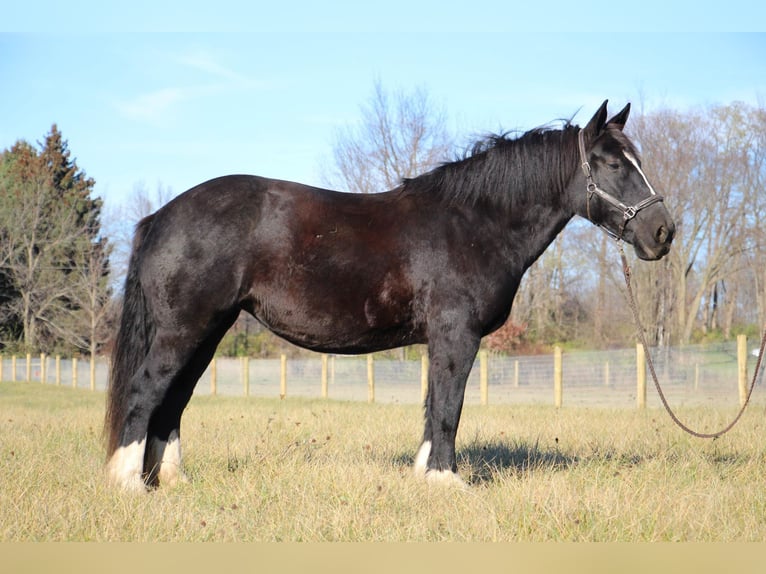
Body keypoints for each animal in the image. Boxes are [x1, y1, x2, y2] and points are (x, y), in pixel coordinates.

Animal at [103, 101, 680, 492]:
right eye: (613, 165)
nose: (663, 233)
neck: (475, 222)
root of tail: (163, 215)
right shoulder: (456, 335)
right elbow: (448, 404)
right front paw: (447, 482)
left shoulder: (440, 340)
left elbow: (433, 404)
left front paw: (425, 476)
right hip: (184, 330)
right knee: (147, 391)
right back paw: (128, 482)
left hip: (207, 331)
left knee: (174, 399)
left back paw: (170, 482)